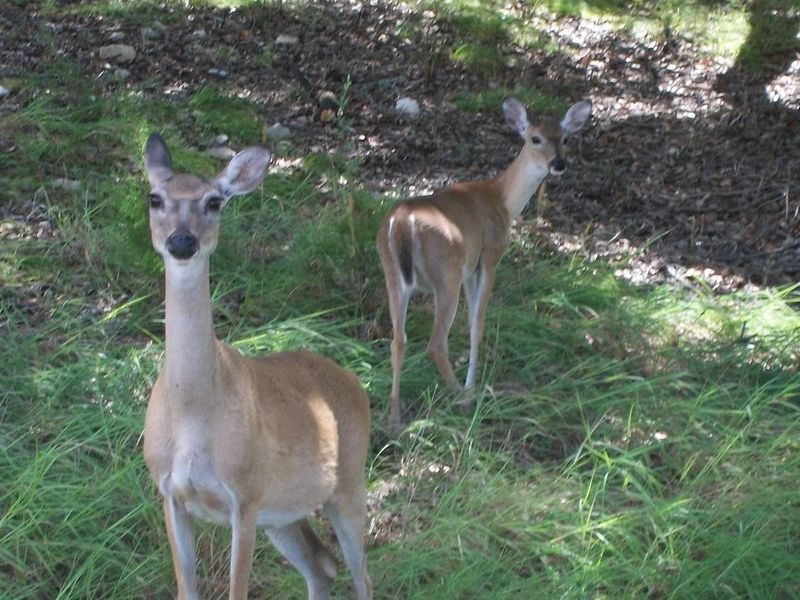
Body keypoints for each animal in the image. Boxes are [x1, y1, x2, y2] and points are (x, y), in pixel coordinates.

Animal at [141, 133, 372, 600]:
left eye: (214, 202)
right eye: (155, 198)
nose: (182, 241)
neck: (193, 413)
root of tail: (353, 382)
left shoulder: (245, 496)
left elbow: (238, 590)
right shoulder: (169, 492)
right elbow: (186, 588)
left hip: (348, 482)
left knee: (361, 575)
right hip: (283, 513)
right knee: (322, 565)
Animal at [377, 97, 592, 433]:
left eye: (565, 138)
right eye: (535, 138)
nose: (558, 164)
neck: (502, 199)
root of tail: (400, 223)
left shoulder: (469, 268)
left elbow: (470, 323)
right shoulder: (489, 256)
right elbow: (478, 324)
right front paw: (471, 384)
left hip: (393, 274)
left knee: (398, 340)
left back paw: (395, 418)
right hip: (446, 272)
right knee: (435, 343)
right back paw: (462, 397)